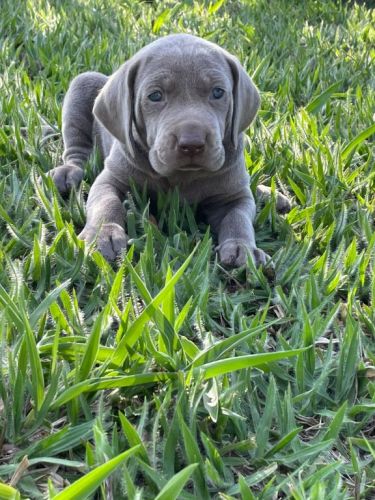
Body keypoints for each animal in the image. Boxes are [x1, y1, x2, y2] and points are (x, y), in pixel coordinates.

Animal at [50, 33, 290, 268]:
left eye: (218, 92)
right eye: (155, 96)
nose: (192, 143)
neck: (182, 176)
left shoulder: (234, 196)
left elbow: (238, 217)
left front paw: (243, 248)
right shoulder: (111, 179)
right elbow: (106, 203)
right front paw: (102, 236)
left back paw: (268, 195)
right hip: (83, 84)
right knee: (76, 151)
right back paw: (68, 173)